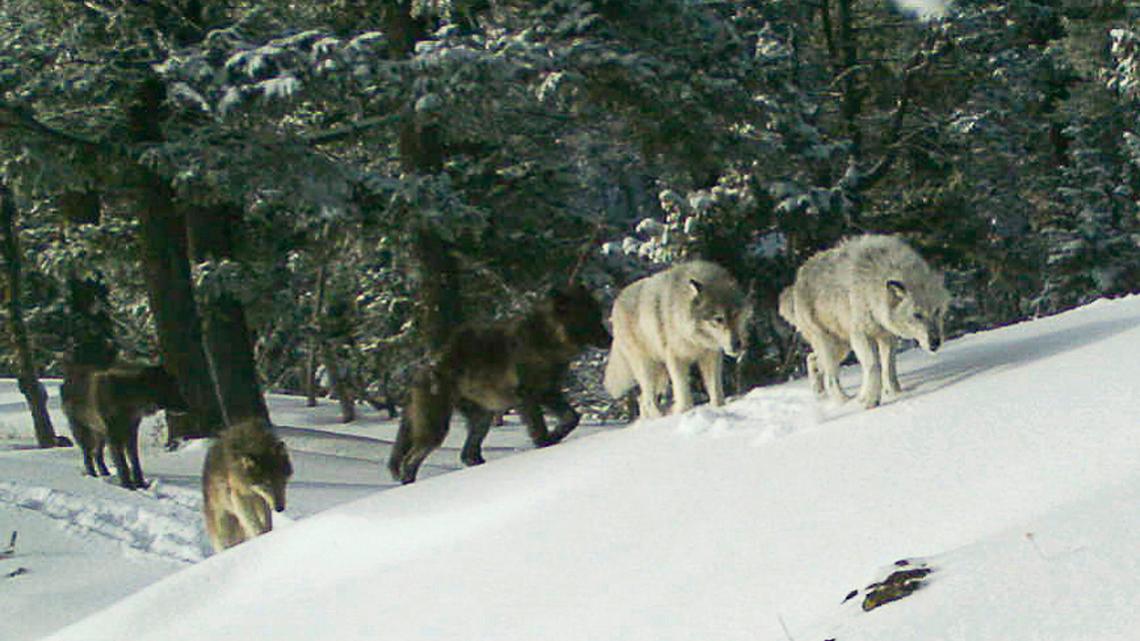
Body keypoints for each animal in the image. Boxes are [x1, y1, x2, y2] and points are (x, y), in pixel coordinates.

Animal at [202, 418, 293, 553]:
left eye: (282, 482)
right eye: (266, 485)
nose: (279, 508)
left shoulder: (263, 502)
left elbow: (266, 522)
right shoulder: (239, 498)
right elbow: (254, 523)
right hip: (223, 525)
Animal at [388, 284, 610, 484]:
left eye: (598, 315)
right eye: (590, 318)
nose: (611, 339)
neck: (546, 339)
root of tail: (420, 371)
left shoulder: (548, 392)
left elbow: (572, 418)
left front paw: (555, 436)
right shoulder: (527, 396)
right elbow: (539, 429)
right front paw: (546, 444)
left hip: (482, 418)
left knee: (467, 455)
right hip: (437, 428)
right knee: (410, 461)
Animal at [604, 261, 751, 418]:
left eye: (735, 314)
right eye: (718, 319)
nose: (737, 345)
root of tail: (617, 302)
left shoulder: (710, 356)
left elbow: (716, 393)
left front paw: (719, 408)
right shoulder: (677, 359)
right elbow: (683, 394)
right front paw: (684, 412)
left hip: (661, 375)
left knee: (642, 400)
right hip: (648, 368)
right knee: (648, 401)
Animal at [781, 234, 950, 408]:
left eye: (937, 311)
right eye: (917, 315)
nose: (935, 342)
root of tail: (796, 282)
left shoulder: (887, 336)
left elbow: (888, 367)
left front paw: (895, 393)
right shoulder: (863, 335)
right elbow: (874, 366)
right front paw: (870, 400)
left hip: (842, 347)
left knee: (812, 359)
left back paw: (820, 394)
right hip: (831, 345)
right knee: (830, 378)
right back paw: (845, 402)